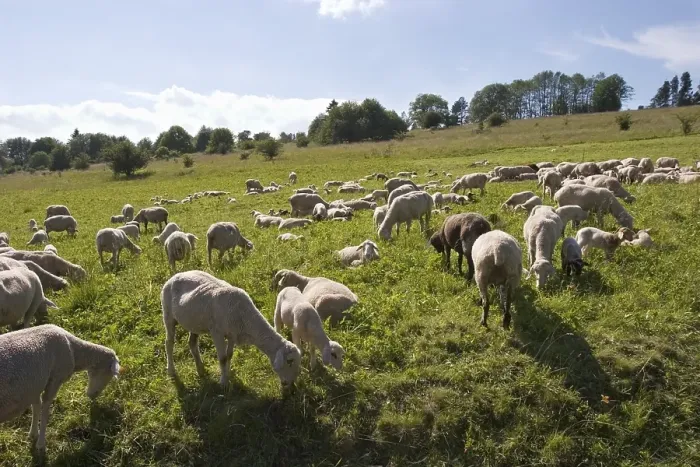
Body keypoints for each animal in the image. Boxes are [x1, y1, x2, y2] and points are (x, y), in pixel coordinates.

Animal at [0, 324, 120, 454]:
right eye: (109, 374)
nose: (92, 395)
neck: (74, 351)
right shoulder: (55, 379)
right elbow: (44, 410)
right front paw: (40, 444)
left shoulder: (35, 385)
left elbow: (36, 406)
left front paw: (33, 434)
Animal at [162, 271, 301, 388]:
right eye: (289, 361)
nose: (290, 384)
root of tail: (176, 275)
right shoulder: (216, 332)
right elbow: (223, 358)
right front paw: (223, 382)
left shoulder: (233, 334)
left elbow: (229, 355)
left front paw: (228, 374)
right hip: (168, 314)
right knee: (169, 343)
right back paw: (171, 370)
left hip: (194, 322)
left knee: (192, 343)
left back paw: (200, 370)